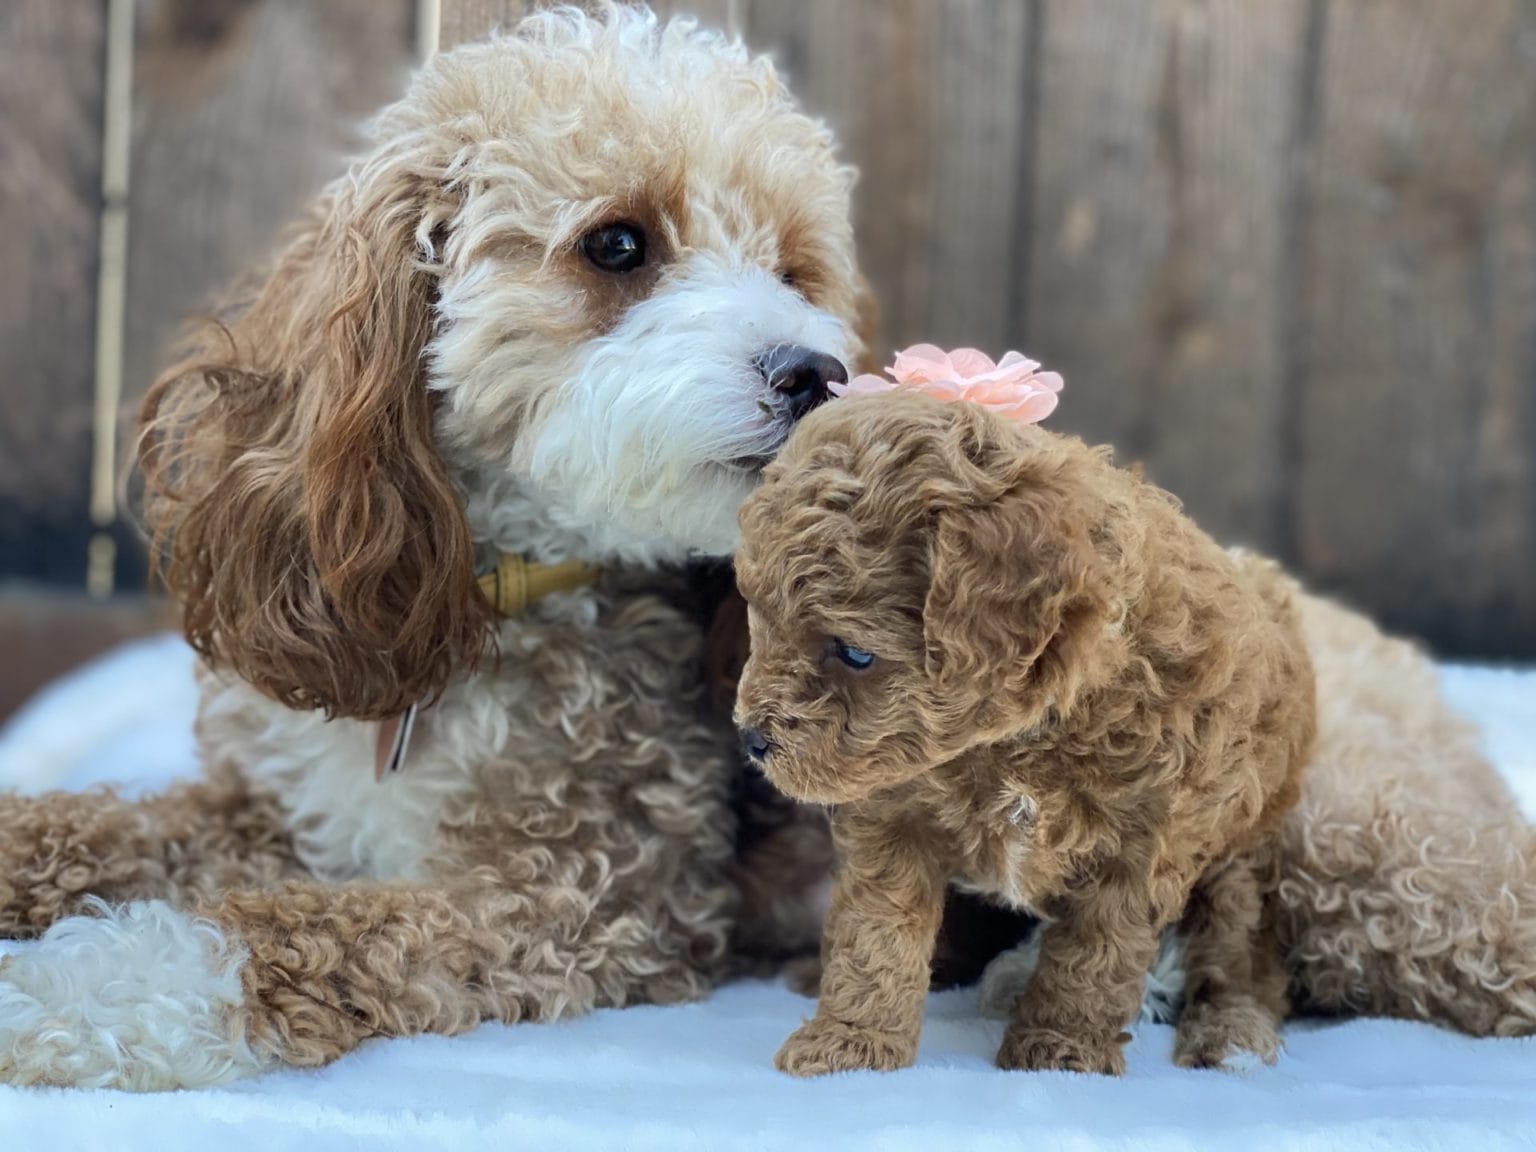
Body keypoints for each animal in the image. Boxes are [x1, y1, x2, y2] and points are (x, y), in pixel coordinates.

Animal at [0, 6, 866, 1093]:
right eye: (618, 244)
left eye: (795, 272)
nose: (817, 373)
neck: (484, 592)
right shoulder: (276, 811)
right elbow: (89, 825)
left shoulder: (569, 900)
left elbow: (277, 937)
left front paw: (74, 989)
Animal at [737, 396, 1314, 1081]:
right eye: (760, 624)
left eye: (854, 653)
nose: (751, 737)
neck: (1017, 740)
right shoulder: (893, 814)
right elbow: (876, 932)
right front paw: (851, 1042)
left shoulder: (1144, 844)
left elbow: (1094, 957)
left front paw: (1059, 1051)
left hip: (1241, 859)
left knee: (1241, 958)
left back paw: (1231, 1036)